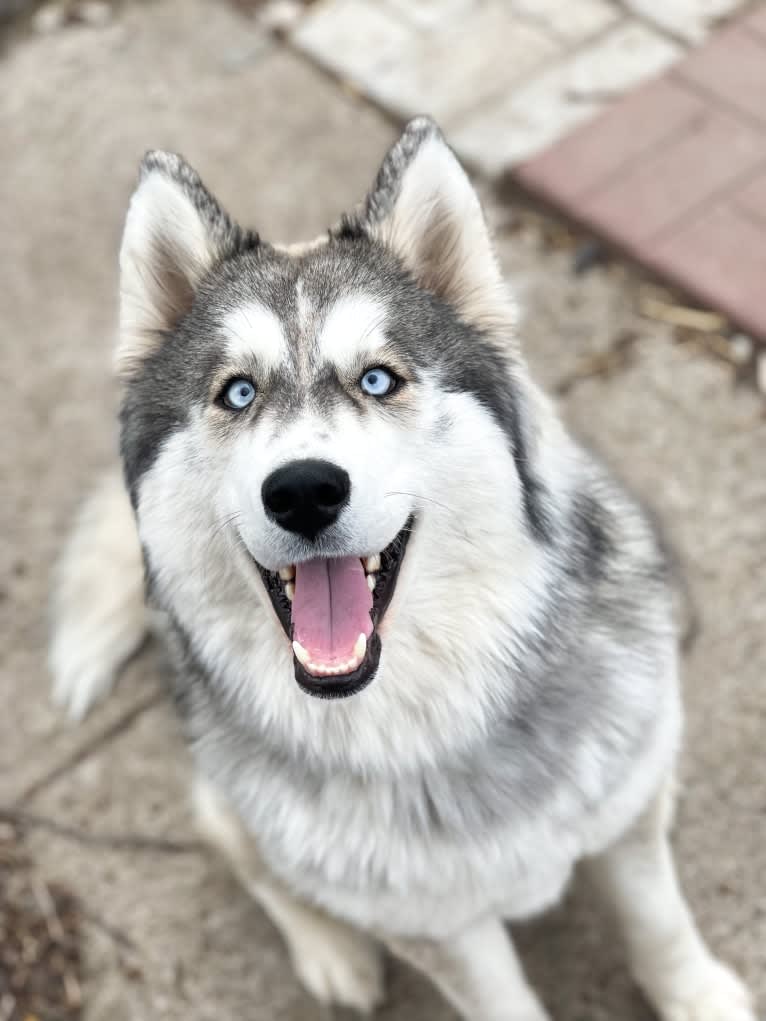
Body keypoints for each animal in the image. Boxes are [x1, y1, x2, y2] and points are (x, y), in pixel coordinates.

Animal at [51, 121, 759, 1021]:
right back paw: (331, 950)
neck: (433, 718)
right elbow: (501, 999)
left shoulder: (621, 827)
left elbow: (659, 922)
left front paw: (699, 996)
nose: (304, 490)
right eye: (237, 393)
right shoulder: (436, 925)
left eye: (379, 378)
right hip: (237, 801)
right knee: (236, 845)